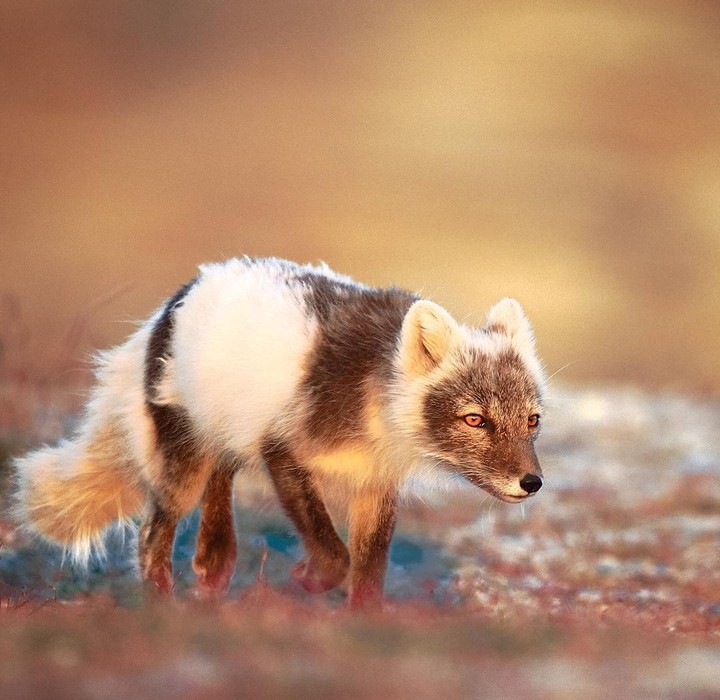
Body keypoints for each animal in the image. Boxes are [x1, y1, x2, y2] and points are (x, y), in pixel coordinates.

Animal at [13, 257, 545, 609]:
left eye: (532, 420)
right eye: (475, 420)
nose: (532, 483)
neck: (378, 405)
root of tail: (178, 296)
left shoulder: (375, 484)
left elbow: (369, 571)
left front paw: (364, 627)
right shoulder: (283, 451)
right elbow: (334, 555)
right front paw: (306, 578)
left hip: (225, 438)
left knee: (219, 481)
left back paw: (211, 567)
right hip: (184, 463)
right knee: (152, 532)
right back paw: (162, 603)